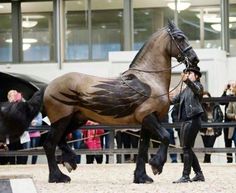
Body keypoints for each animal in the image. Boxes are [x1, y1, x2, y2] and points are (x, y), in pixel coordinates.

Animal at [42, 20, 199, 183]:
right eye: (180, 37)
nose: (194, 59)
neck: (150, 80)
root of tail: (48, 87)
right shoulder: (148, 116)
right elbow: (166, 137)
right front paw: (156, 165)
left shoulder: (146, 121)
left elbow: (143, 149)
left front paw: (141, 177)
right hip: (61, 120)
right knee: (49, 144)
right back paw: (57, 176)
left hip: (76, 120)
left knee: (59, 141)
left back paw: (69, 162)